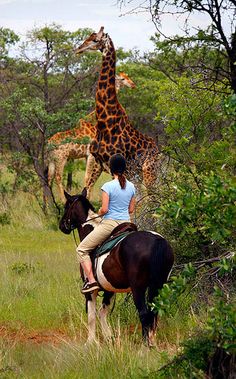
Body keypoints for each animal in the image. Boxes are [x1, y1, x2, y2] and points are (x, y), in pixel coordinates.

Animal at [46, 71, 136, 202]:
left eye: (128, 76)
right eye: (123, 79)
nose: (133, 85)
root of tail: (48, 144)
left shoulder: (88, 156)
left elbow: (90, 179)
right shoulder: (90, 155)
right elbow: (88, 177)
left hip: (52, 160)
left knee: (48, 179)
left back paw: (49, 204)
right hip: (61, 158)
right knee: (58, 177)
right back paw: (62, 201)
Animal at [58, 188, 173, 348]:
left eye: (66, 206)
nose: (61, 225)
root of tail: (157, 240)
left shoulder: (91, 291)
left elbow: (91, 315)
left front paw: (90, 342)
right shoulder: (109, 289)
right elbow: (102, 313)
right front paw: (109, 338)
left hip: (138, 288)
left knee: (144, 313)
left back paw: (145, 345)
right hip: (158, 286)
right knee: (154, 312)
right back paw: (152, 341)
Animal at [75, 26, 159, 190]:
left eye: (96, 39)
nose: (78, 49)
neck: (105, 122)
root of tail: (159, 151)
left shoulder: (120, 166)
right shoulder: (101, 164)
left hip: (149, 173)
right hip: (139, 174)